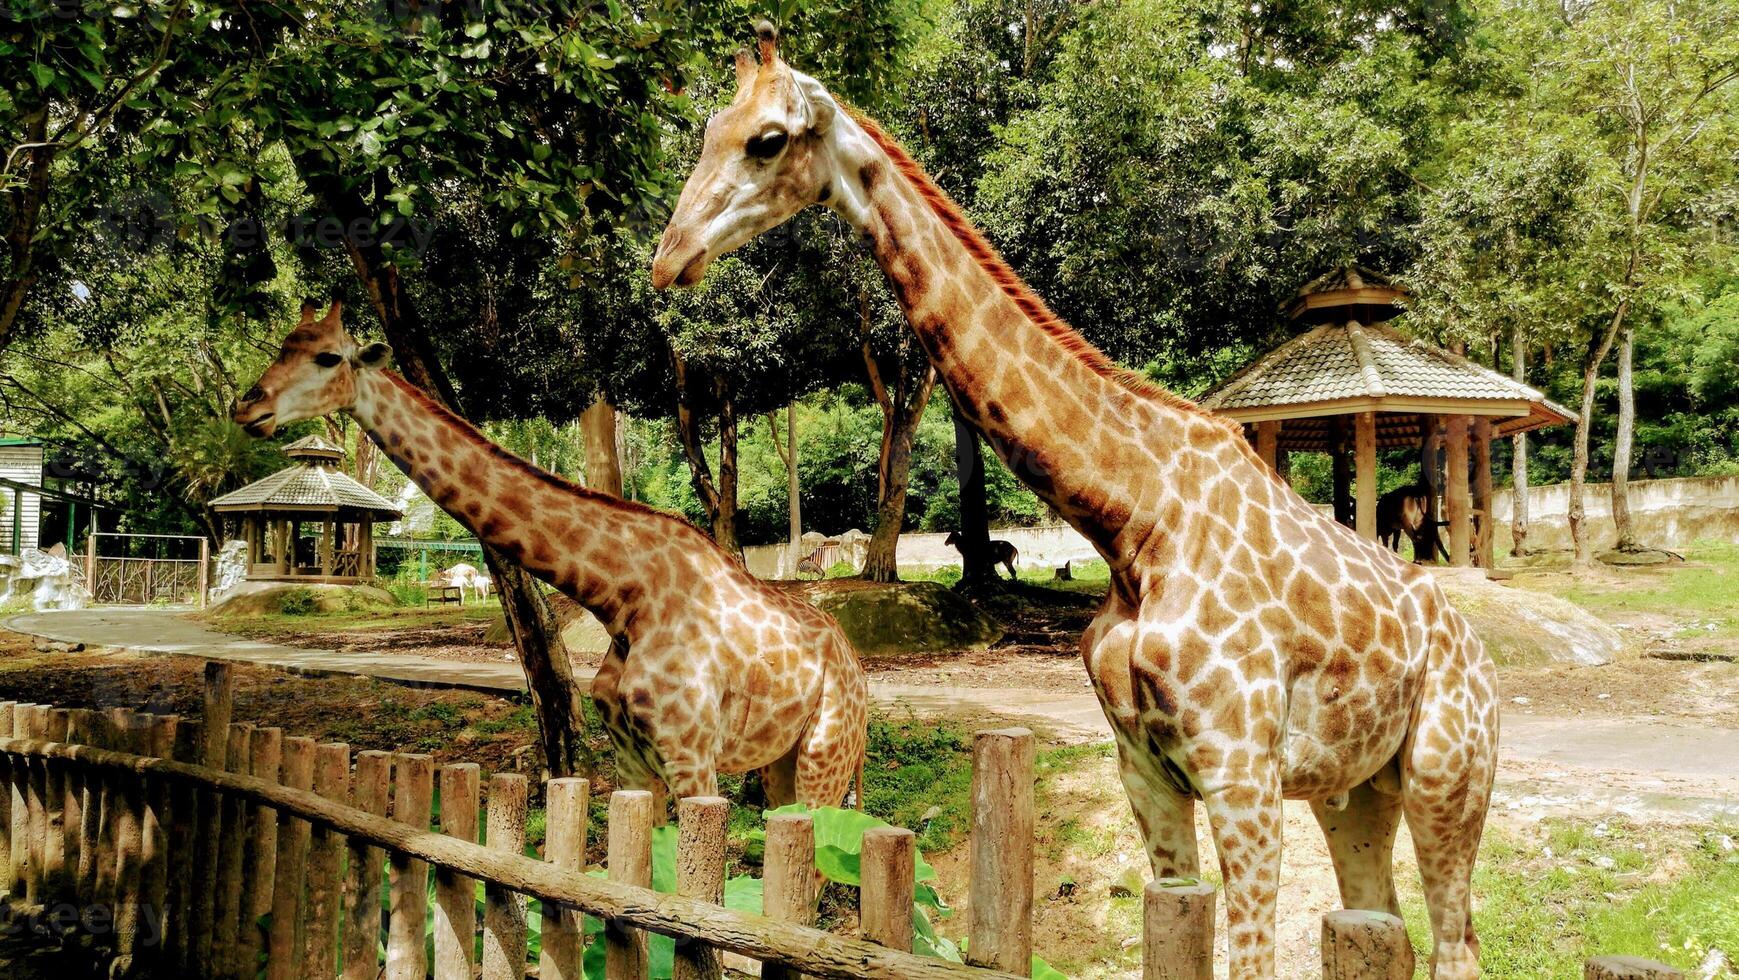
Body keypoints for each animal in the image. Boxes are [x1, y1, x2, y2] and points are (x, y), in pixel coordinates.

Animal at [234, 305, 869, 813]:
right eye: (283, 345)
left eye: (326, 357)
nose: (249, 406)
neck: (623, 598)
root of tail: (856, 663)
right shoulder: (632, 756)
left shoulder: (691, 754)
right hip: (781, 759)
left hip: (826, 749)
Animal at [653, 26, 1495, 973]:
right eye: (707, 131)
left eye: (767, 140)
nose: (667, 258)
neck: (1134, 523)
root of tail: (1474, 649)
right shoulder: (1143, 767)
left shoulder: (1241, 769)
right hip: (1354, 785)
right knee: (1387, 918)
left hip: (1446, 773)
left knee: (1456, 939)